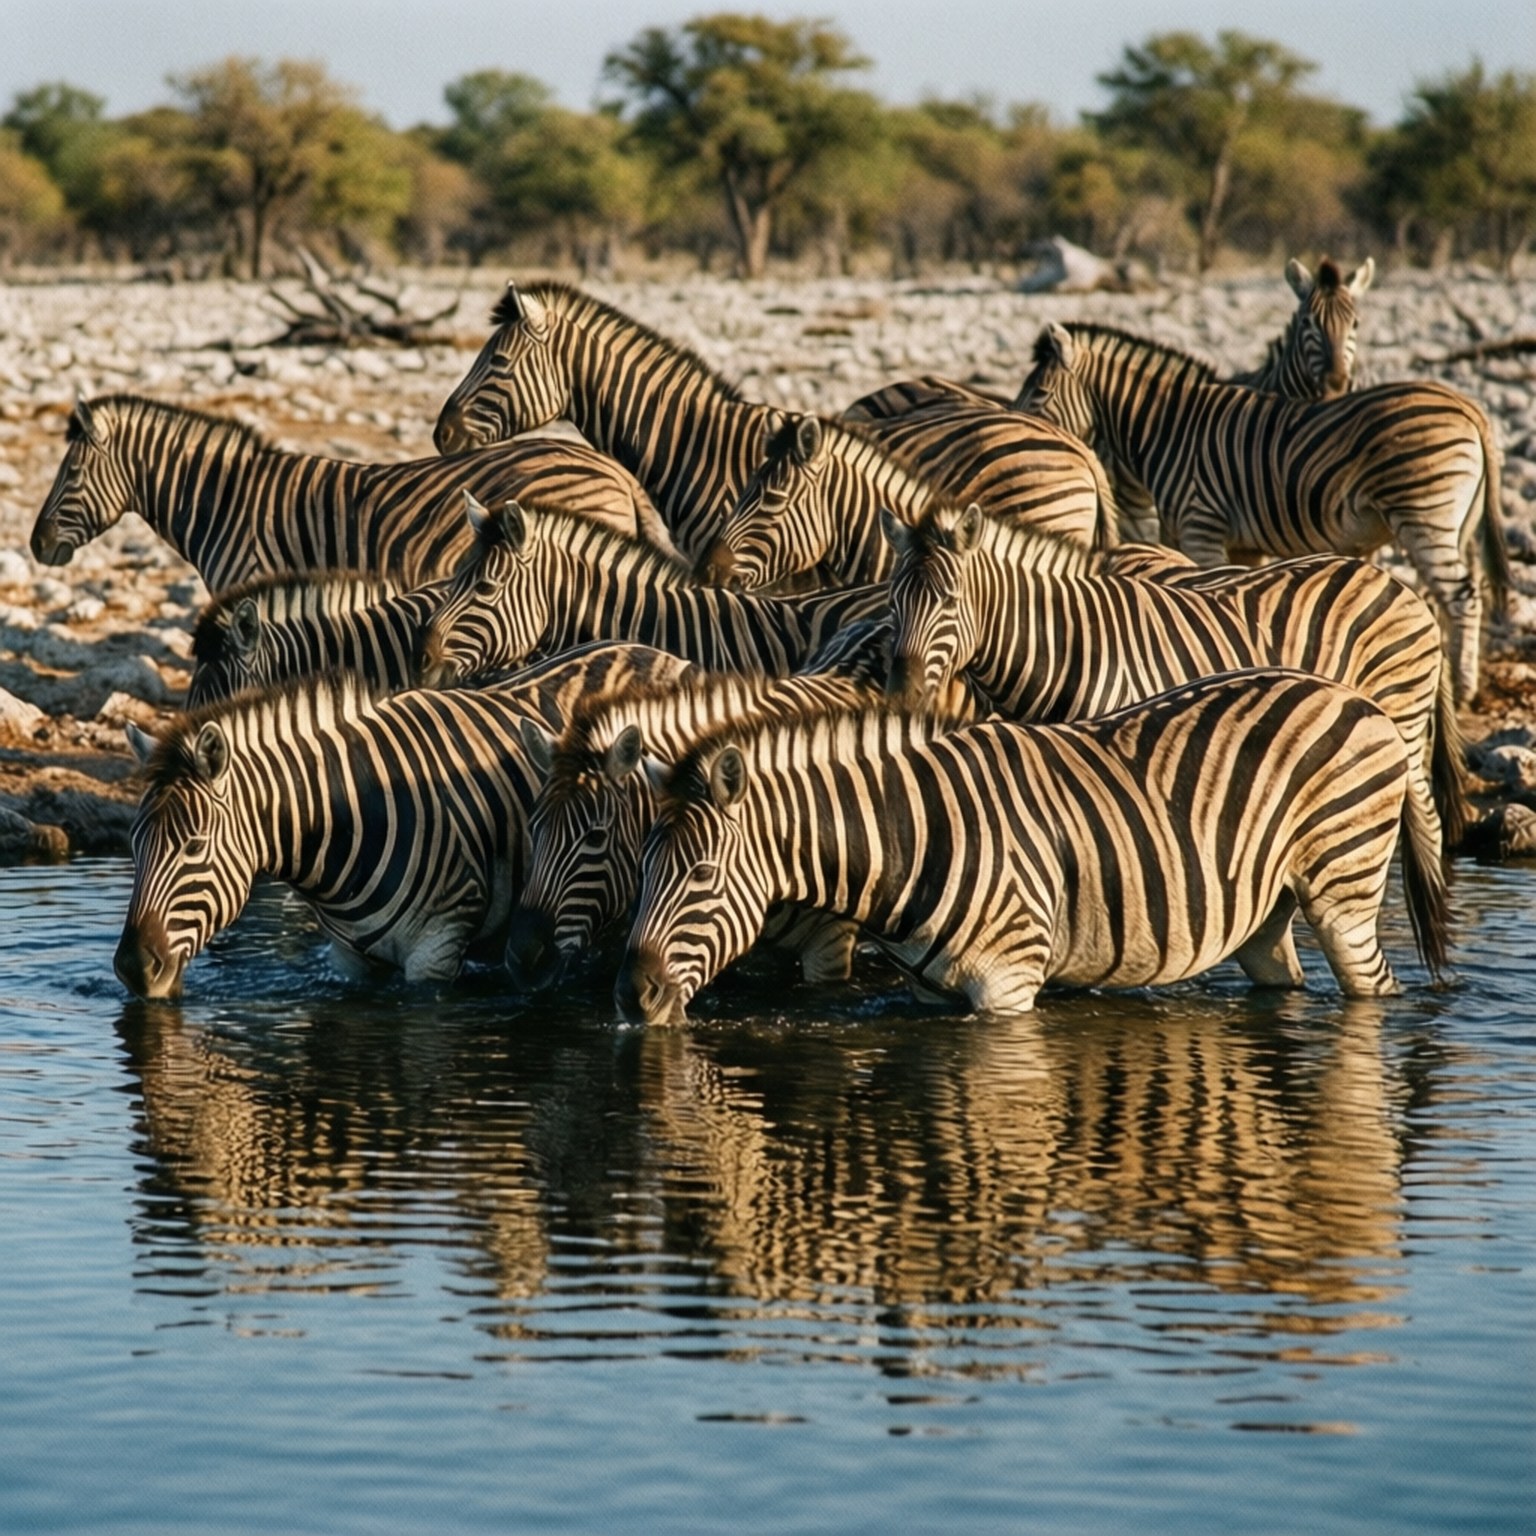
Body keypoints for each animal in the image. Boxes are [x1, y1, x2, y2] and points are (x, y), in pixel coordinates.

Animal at [115, 644, 695, 998]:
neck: (347, 821)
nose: (131, 969)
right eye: (133, 846)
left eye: (194, 846)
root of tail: (661, 654)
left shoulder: (436, 953)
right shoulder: (351, 962)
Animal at [615, 669, 1450, 1023]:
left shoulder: (1008, 985)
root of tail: (1358, 697)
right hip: (1263, 912)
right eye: (642, 871)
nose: (633, 997)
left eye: (701, 874)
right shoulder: (934, 993)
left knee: (1375, 989)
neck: (908, 835)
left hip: (1342, 888)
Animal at [882, 500, 1468, 859]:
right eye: (891, 602)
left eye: (950, 602)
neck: (1064, 643)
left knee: (1423, 825)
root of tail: (1397, 584)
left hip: (1402, 722)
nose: (903, 693)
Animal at [1012, 322, 1508, 701]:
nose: (1018, 424)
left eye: (1039, 393)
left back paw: (1465, 688)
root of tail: (1468, 405)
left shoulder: (1201, 524)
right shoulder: (1240, 543)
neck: (1169, 428)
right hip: (1457, 521)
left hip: (1424, 511)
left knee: (1462, 594)